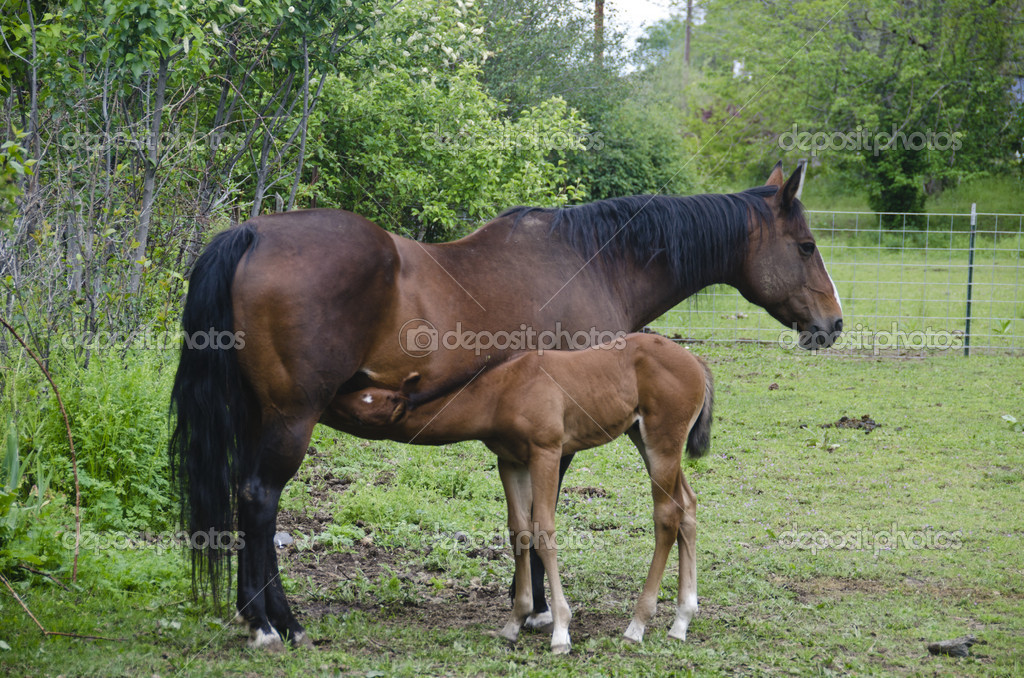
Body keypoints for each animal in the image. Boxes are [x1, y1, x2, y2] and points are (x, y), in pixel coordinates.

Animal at [334, 332, 713, 654]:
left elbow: (544, 528)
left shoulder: (546, 453)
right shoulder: (510, 461)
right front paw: (514, 623)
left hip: (662, 443)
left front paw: (561, 631)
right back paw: (681, 621)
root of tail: (696, 362)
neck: (502, 391)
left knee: (667, 515)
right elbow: (520, 530)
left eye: (364, 406)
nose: (331, 397)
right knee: (688, 505)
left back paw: (637, 625)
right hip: (642, 439)